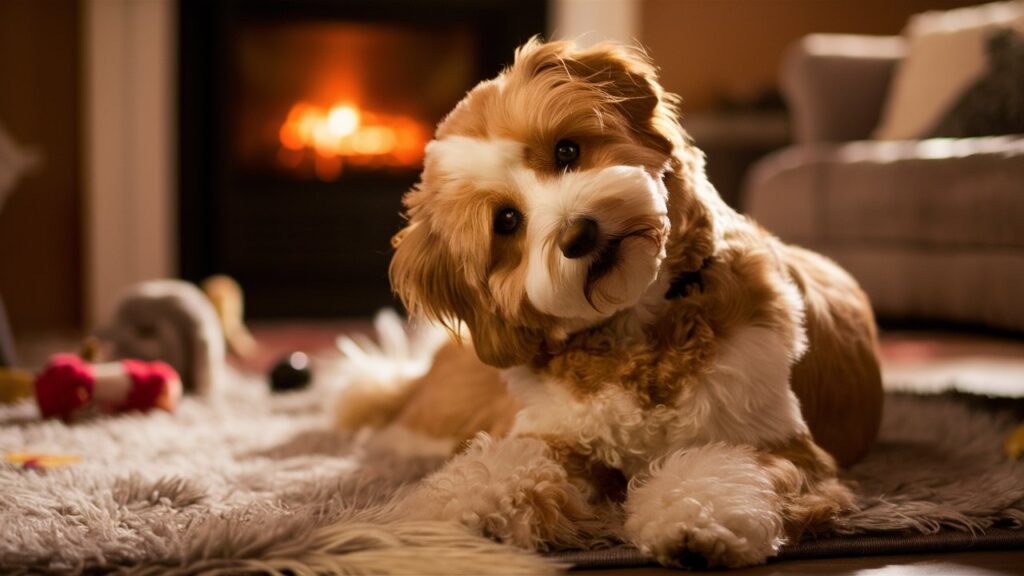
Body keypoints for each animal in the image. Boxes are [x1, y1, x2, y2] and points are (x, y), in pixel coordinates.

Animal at [335, 38, 880, 565]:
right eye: (507, 221)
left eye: (567, 150)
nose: (579, 234)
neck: (634, 333)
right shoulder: (555, 432)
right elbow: (512, 460)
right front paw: (467, 510)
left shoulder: (777, 444)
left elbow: (725, 468)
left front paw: (697, 520)